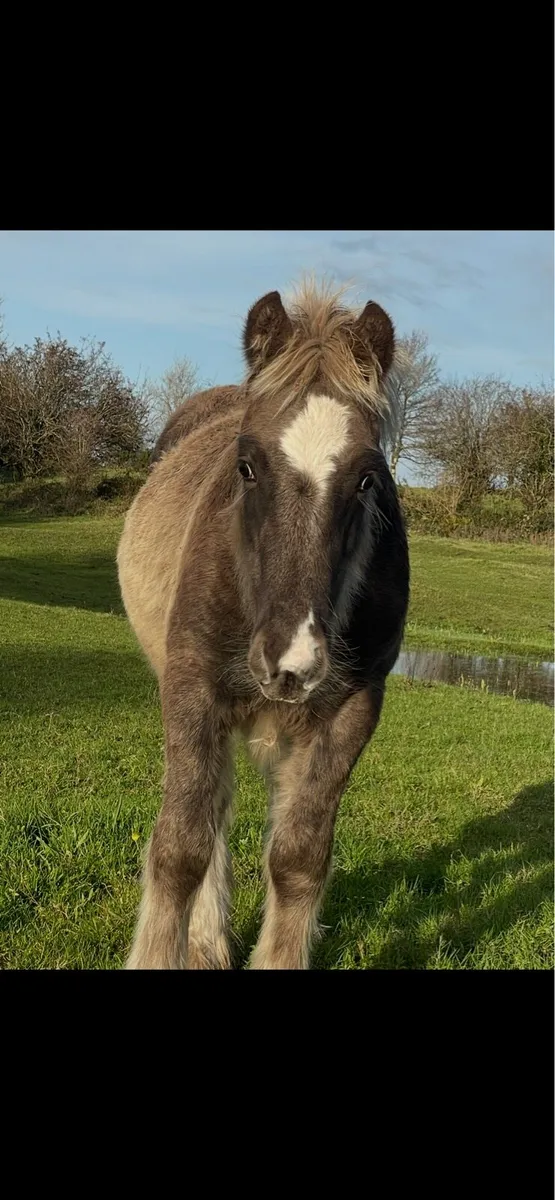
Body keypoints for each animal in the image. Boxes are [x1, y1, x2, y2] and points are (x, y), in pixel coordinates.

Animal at [117, 280, 410, 969]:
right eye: (246, 466)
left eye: (368, 477)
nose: (290, 662)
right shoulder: (192, 689)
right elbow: (180, 848)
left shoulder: (351, 712)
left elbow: (299, 859)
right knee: (211, 815)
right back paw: (206, 941)